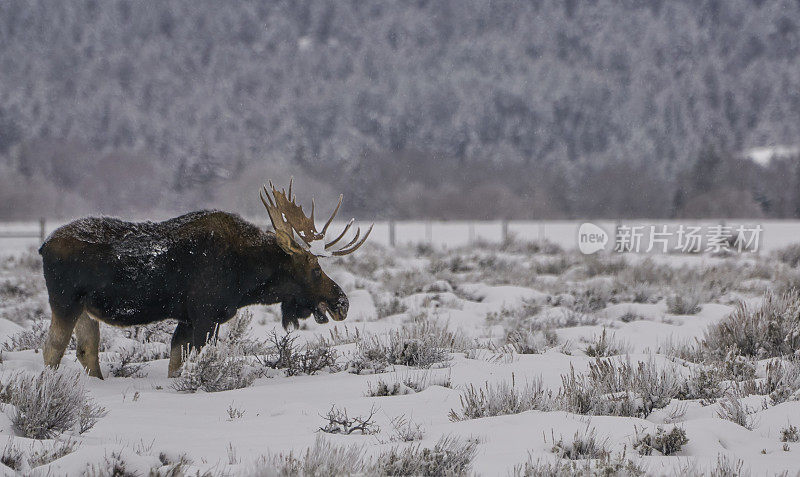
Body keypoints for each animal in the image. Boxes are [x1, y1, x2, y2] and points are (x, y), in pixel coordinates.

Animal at [39, 180, 370, 378]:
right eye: (315, 269)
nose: (342, 302)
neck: (246, 278)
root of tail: (43, 246)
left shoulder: (187, 319)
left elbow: (175, 365)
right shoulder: (205, 315)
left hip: (86, 309)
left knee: (86, 351)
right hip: (65, 302)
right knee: (52, 348)